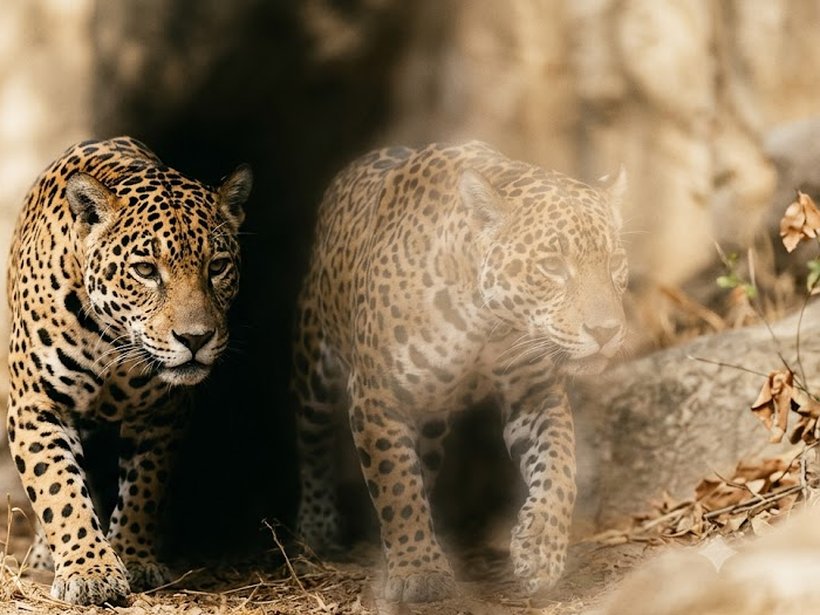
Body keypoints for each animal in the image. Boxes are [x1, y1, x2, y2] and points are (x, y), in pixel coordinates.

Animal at [5, 136, 252, 605]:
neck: (113, 342)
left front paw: (134, 559)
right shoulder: (36, 406)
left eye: (216, 267)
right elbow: (59, 490)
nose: (196, 339)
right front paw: (90, 570)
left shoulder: (162, 414)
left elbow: (145, 489)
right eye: (145, 270)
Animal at [292, 141, 628, 602]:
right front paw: (419, 570)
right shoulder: (377, 394)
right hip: (314, 364)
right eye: (552, 265)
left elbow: (560, 468)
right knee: (313, 443)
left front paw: (540, 548)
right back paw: (318, 527)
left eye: (615, 263)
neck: (484, 322)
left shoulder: (534, 391)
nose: (606, 331)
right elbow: (396, 484)